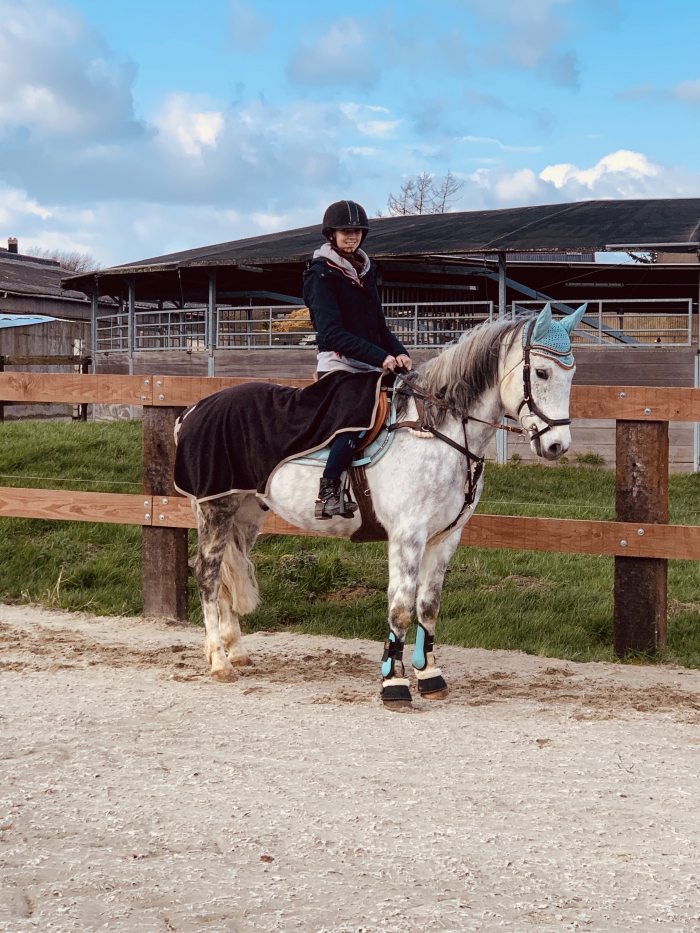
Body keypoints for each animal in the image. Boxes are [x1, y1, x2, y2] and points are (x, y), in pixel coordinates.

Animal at [186, 304, 584, 708]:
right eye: (541, 372)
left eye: (571, 374)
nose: (557, 445)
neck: (437, 432)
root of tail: (197, 408)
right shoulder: (407, 535)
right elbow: (401, 608)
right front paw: (394, 683)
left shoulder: (446, 537)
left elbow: (429, 606)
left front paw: (429, 676)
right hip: (216, 507)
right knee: (207, 573)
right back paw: (219, 662)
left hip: (247, 513)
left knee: (226, 572)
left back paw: (236, 651)